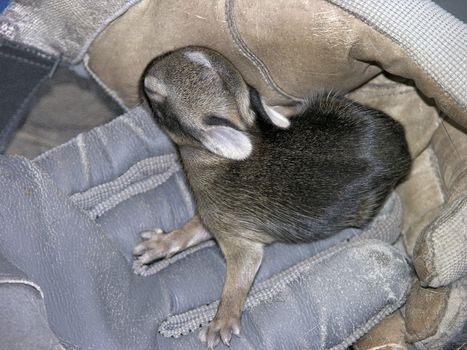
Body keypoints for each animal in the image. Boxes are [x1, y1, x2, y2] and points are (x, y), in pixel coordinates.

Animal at [133, 47, 412, 350]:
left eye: (152, 90)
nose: (143, 71)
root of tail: (403, 151)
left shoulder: (236, 239)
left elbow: (238, 278)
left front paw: (221, 323)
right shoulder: (215, 218)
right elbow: (191, 229)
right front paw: (157, 245)